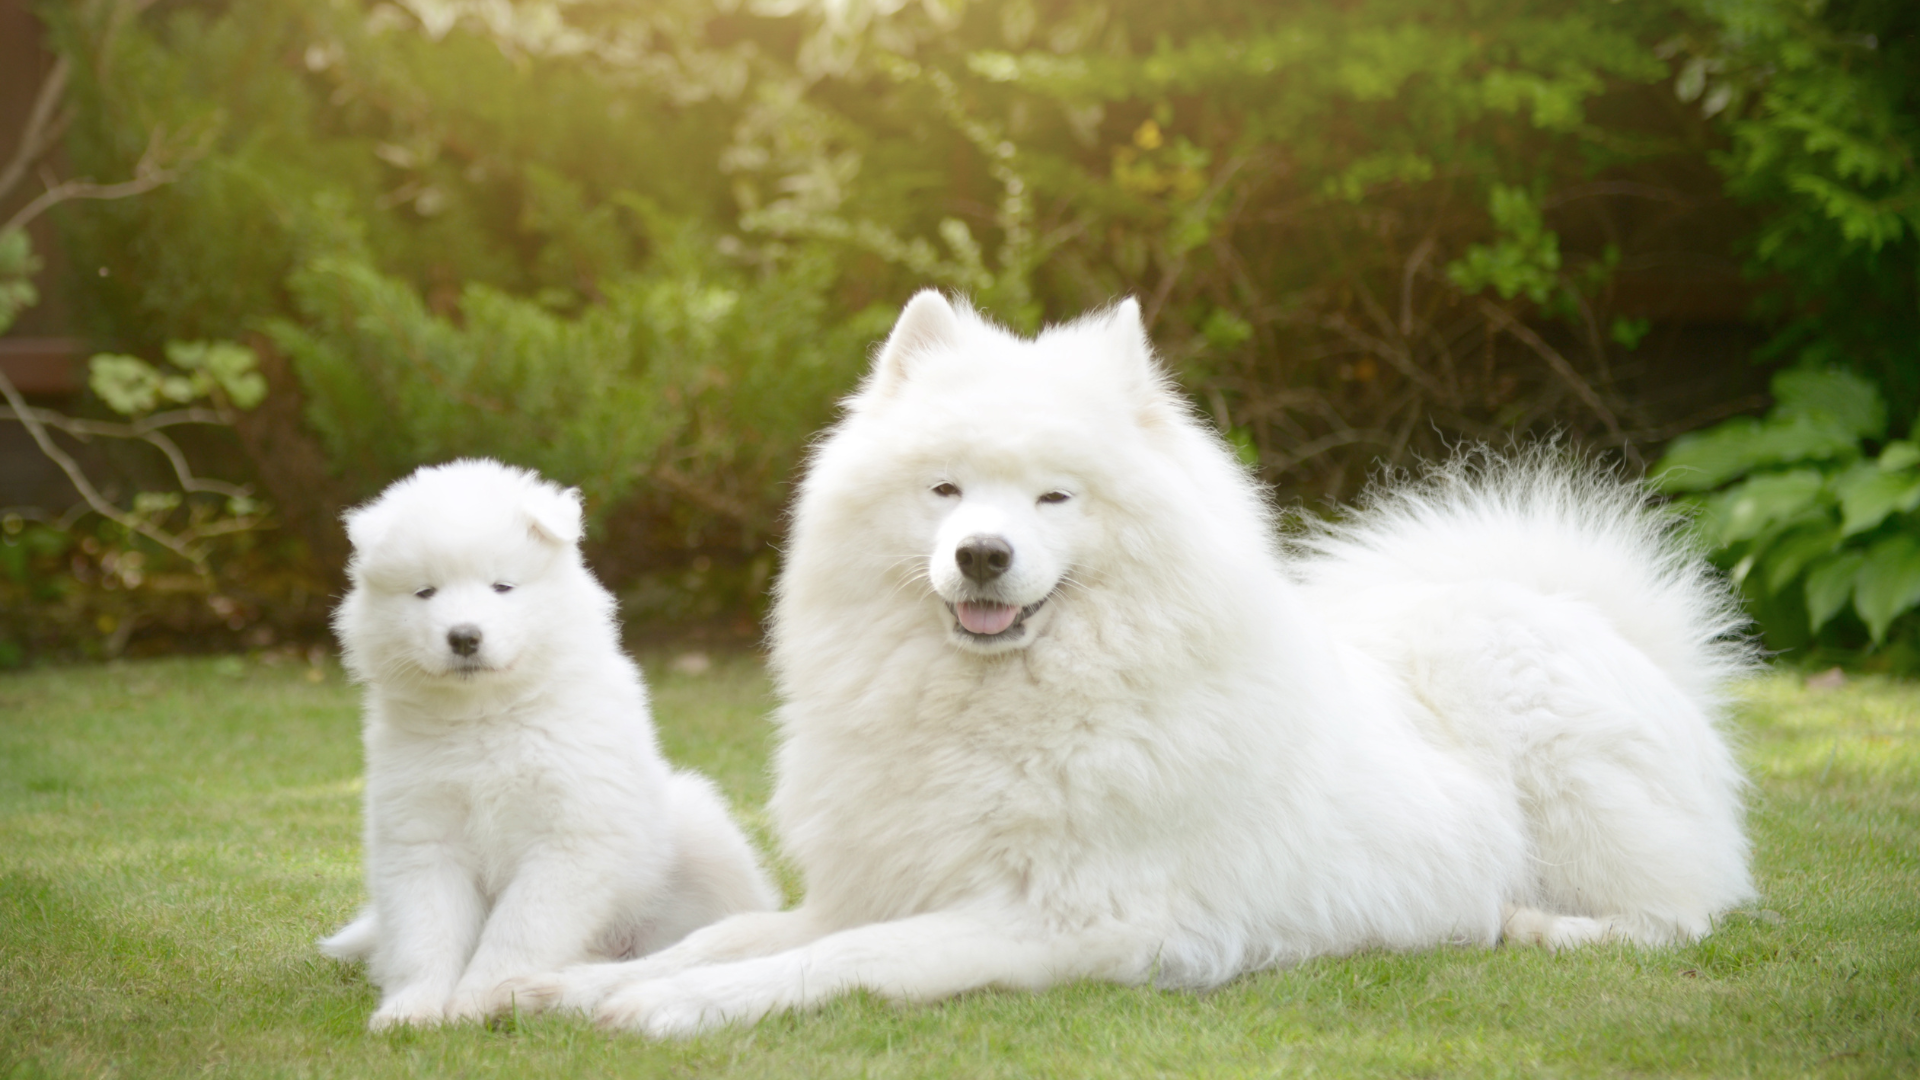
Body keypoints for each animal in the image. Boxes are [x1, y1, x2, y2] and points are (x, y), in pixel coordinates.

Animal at [324, 455, 779, 1022]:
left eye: (502, 587)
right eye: (424, 591)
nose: (464, 636)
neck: (486, 718)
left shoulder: (570, 837)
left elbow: (518, 929)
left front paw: (479, 1000)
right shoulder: (423, 837)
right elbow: (427, 931)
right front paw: (414, 1010)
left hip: (700, 834)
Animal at [495, 294, 1758, 1037]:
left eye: (1055, 498)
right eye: (946, 489)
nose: (984, 553)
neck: (998, 714)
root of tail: (1607, 625)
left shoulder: (1067, 919)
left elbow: (846, 960)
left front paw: (679, 1005)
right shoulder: (885, 878)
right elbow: (745, 932)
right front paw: (571, 983)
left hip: (1572, 790)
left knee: (1680, 914)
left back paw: (1534, 926)